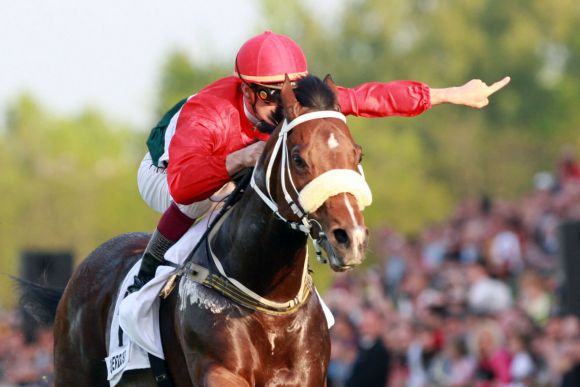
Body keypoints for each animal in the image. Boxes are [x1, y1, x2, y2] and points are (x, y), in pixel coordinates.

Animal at [20, 74, 372, 386]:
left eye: (357, 154)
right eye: (299, 160)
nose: (350, 238)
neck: (268, 298)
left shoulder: (307, 375)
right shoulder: (218, 370)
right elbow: (187, 177)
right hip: (74, 373)